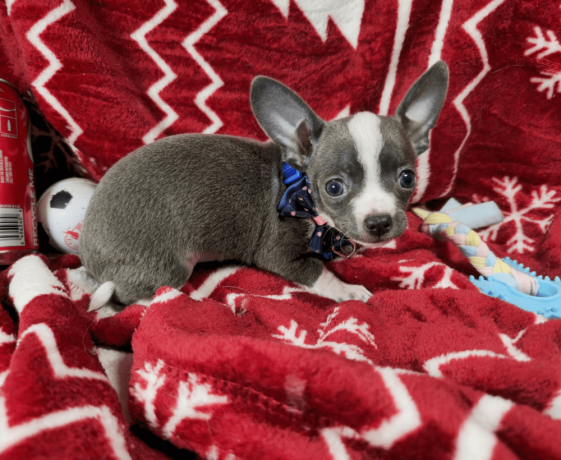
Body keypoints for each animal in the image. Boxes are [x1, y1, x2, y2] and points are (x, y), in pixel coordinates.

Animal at [79, 60, 448, 306]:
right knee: (137, 295)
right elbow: (319, 272)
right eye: (334, 187)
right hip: (167, 266)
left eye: (407, 178)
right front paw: (347, 289)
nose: (380, 222)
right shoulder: (280, 253)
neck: (301, 191)